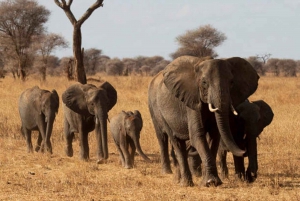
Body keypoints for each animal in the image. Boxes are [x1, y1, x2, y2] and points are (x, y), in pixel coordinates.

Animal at [149, 55, 258, 187]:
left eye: (231, 82)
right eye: (204, 83)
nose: (244, 150)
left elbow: (214, 137)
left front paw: (213, 182)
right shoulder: (192, 99)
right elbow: (198, 135)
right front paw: (210, 182)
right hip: (159, 111)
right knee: (173, 142)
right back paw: (185, 183)